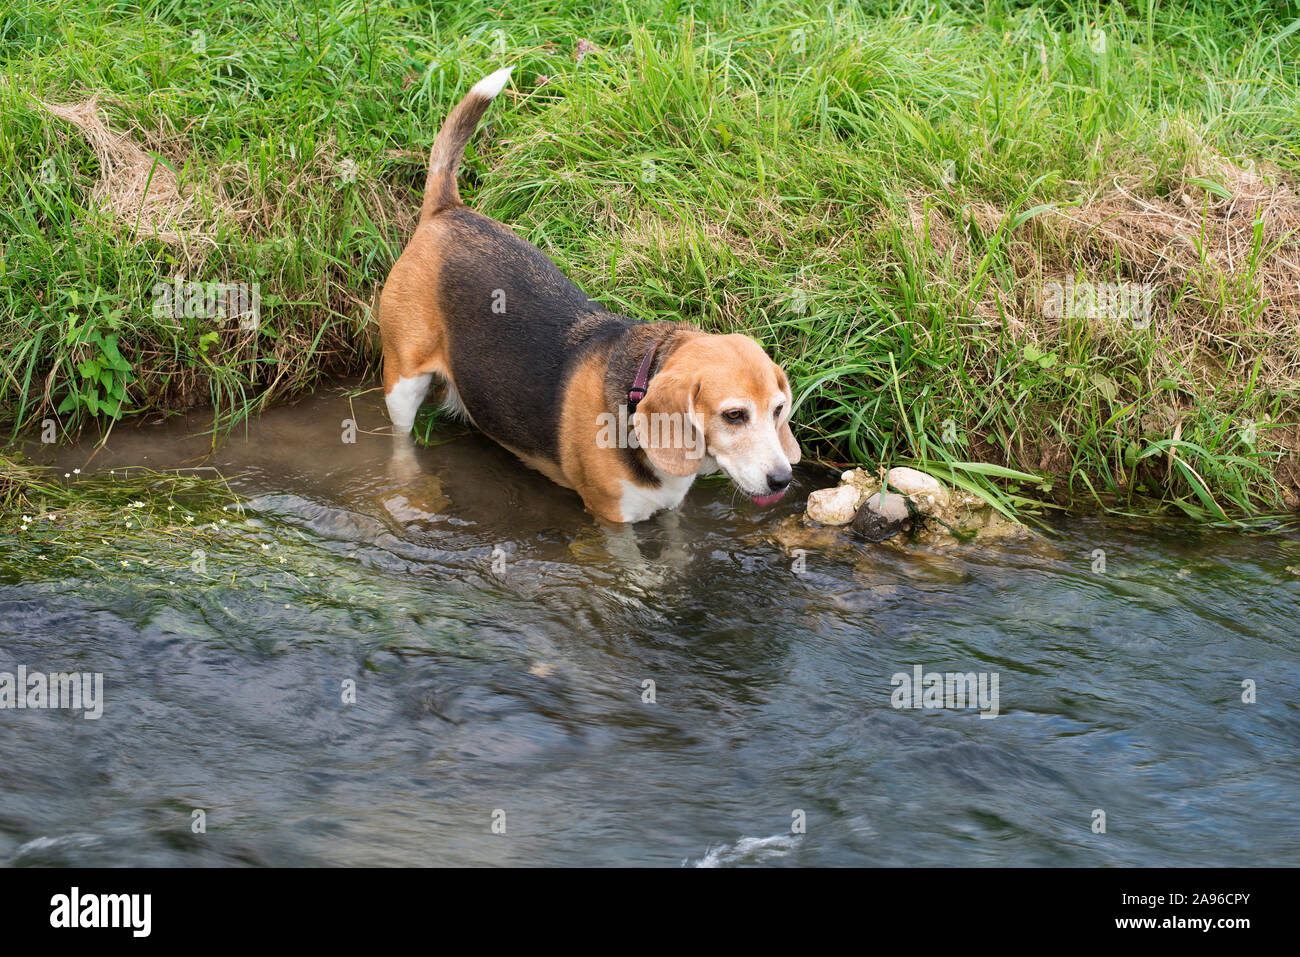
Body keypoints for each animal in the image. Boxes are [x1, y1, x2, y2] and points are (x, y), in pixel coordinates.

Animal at [377, 67, 795, 522]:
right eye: (734, 415)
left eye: (778, 410)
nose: (783, 479)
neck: (636, 387)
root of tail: (446, 211)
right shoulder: (613, 520)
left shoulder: (671, 509)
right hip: (403, 381)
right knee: (400, 439)